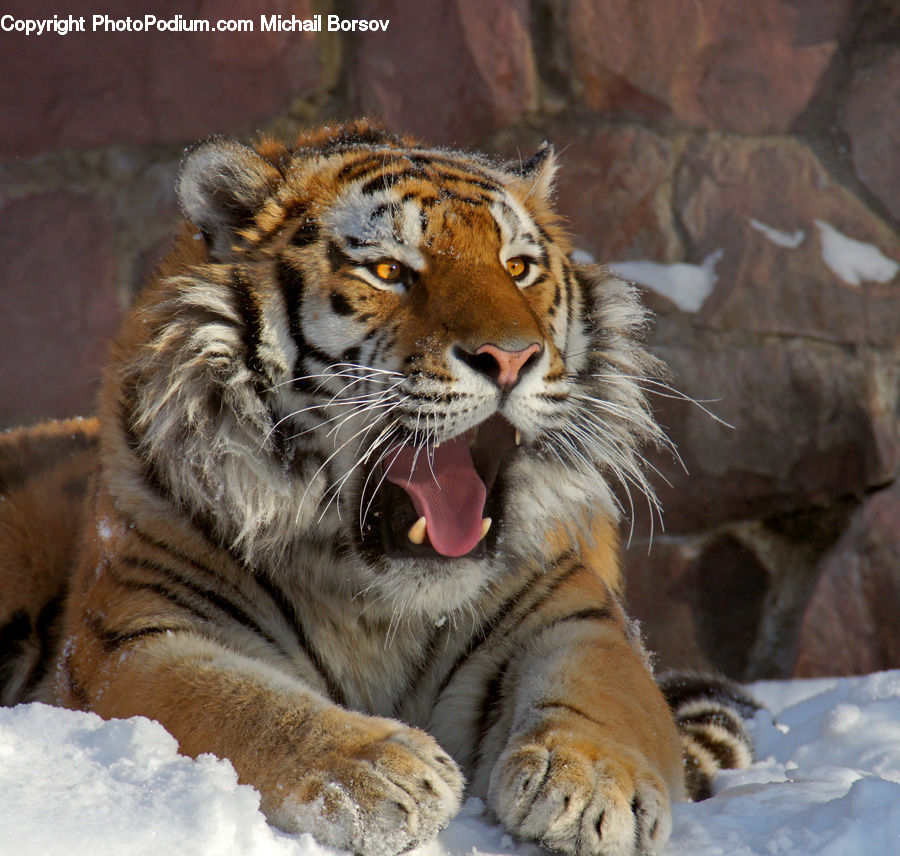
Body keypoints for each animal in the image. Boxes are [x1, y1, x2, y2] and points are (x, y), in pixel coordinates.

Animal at [0, 120, 757, 856]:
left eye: (518, 268)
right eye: (390, 271)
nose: (512, 358)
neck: (376, 606)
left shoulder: (572, 613)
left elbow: (601, 693)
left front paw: (590, 783)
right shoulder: (135, 640)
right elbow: (239, 704)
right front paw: (378, 770)